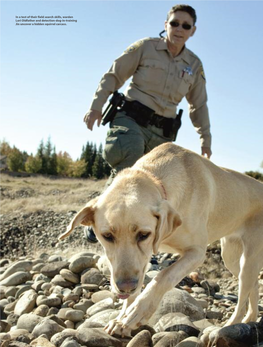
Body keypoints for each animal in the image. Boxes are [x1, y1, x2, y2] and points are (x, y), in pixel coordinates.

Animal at [58, 143, 263, 338]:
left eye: (143, 234)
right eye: (107, 235)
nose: (125, 288)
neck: (154, 177)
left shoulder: (196, 253)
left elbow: (164, 276)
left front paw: (138, 311)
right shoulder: (141, 259)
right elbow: (139, 280)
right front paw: (122, 318)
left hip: (249, 258)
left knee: (245, 291)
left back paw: (228, 326)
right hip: (231, 256)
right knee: (253, 285)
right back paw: (250, 318)